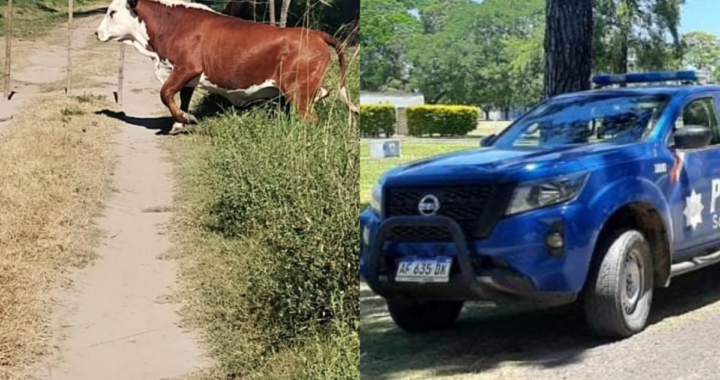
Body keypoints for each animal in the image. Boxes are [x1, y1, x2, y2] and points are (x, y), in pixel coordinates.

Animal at [95, 0, 358, 134]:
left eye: (112, 12)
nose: (97, 33)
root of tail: (315, 33)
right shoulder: (187, 75)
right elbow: (182, 97)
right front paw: (179, 122)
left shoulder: (186, 67)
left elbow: (165, 93)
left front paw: (186, 119)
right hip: (307, 87)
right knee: (323, 94)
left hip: (298, 89)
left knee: (310, 118)